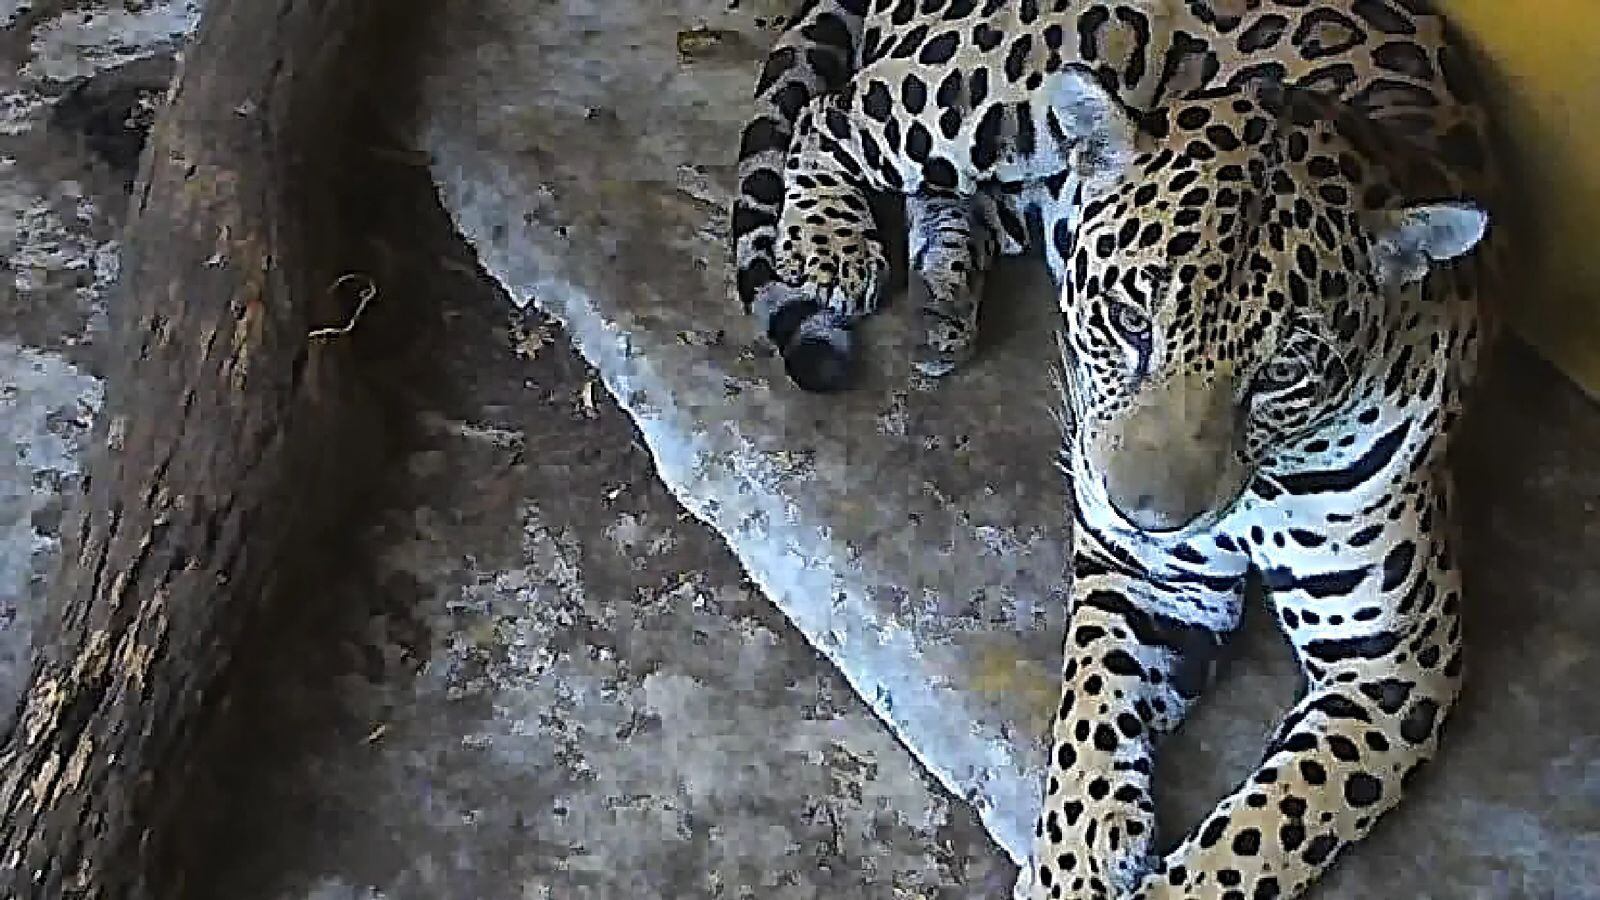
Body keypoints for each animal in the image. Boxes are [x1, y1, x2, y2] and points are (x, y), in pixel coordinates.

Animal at [730, 2, 1504, 899]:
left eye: (1281, 370)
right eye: (1131, 322)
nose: (1147, 516)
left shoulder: (1392, 666)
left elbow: (1268, 828)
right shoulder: (1148, 575)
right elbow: (1093, 714)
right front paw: (1073, 864)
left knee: (952, 194)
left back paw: (943, 301)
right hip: (998, 84)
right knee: (835, 115)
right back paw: (833, 246)